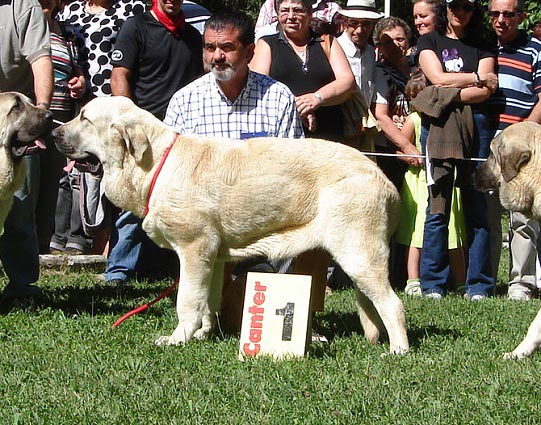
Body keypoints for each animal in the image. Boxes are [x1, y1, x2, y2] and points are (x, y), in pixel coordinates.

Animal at [53, 97, 410, 354]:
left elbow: (187, 300)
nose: (54, 131)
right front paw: (204, 333)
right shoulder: (212, 257)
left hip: (358, 254)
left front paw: (178, 338)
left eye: (84, 118)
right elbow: (207, 300)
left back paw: (398, 350)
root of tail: (383, 179)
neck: (156, 164)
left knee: (392, 303)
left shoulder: (194, 249)